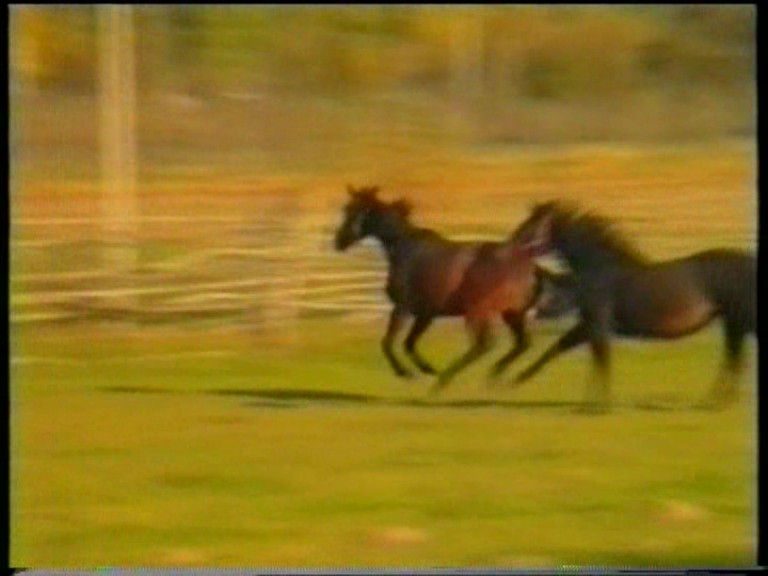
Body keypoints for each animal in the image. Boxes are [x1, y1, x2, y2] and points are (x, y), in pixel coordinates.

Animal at [334, 185, 546, 394]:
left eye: (355, 212)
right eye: (345, 209)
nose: (339, 241)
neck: (403, 248)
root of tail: (531, 266)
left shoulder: (403, 308)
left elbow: (390, 343)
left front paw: (407, 372)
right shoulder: (425, 314)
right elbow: (407, 343)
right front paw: (426, 369)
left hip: (478, 311)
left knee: (484, 344)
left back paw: (447, 379)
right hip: (511, 313)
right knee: (521, 343)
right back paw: (498, 377)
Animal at [509, 200, 756, 413]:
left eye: (530, 227)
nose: (510, 246)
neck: (598, 272)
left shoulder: (598, 324)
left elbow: (601, 360)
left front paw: (597, 407)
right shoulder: (589, 325)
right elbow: (560, 347)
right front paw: (518, 378)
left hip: (738, 321)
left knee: (734, 360)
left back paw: (714, 402)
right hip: (733, 323)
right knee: (734, 359)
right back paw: (715, 402)